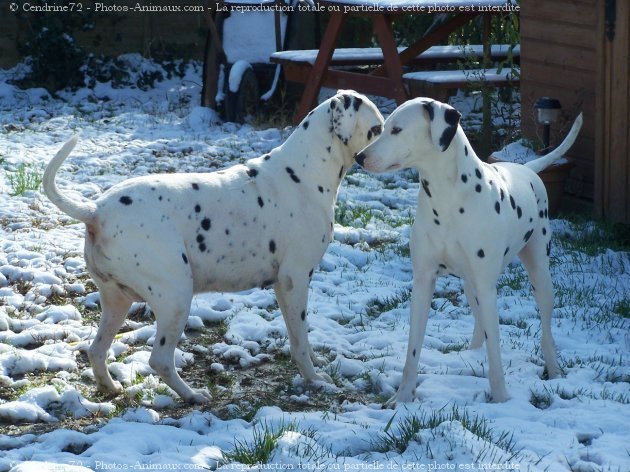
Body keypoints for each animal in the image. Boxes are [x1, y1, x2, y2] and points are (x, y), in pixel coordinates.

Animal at [43, 90, 386, 404]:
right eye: (377, 128)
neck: (302, 172)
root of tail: (96, 210)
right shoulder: (296, 280)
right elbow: (300, 343)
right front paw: (315, 381)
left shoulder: (284, 287)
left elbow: (301, 338)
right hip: (176, 297)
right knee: (160, 360)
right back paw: (192, 395)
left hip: (117, 302)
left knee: (96, 350)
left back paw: (110, 387)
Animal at [358, 98, 584, 406]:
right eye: (383, 128)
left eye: (397, 129)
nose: (359, 157)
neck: (447, 200)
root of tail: (527, 169)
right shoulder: (423, 282)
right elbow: (412, 351)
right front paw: (403, 397)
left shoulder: (488, 288)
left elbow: (496, 355)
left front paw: (502, 399)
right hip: (470, 285)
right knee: (479, 324)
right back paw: (473, 353)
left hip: (540, 276)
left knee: (546, 331)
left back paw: (555, 369)